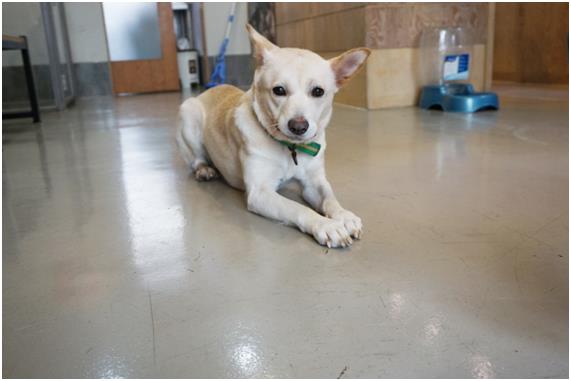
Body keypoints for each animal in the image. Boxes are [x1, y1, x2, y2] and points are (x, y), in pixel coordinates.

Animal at [178, 25, 370, 248]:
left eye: (318, 91)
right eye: (279, 90)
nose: (298, 126)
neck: (289, 148)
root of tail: (213, 88)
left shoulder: (313, 183)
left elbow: (329, 198)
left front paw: (343, 216)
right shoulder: (260, 193)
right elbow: (298, 208)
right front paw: (326, 225)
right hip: (188, 113)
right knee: (196, 159)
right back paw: (204, 169)